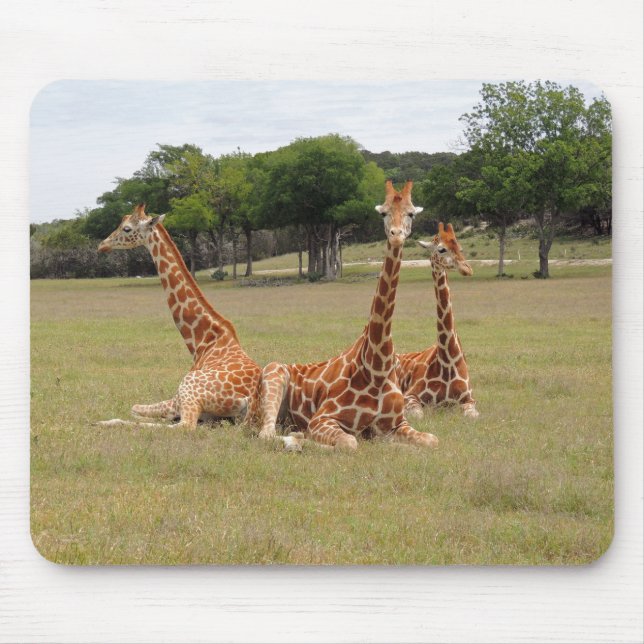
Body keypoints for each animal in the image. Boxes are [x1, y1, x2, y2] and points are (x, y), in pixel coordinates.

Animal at [96, 204, 262, 429]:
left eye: (126, 228)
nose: (102, 245)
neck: (203, 341)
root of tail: (249, 401)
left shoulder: (177, 399)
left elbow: (134, 408)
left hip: (188, 390)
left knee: (183, 426)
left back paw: (106, 421)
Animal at [258, 181, 438, 450]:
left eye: (411, 213)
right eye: (383, 213)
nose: (396, 235)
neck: (376, 368)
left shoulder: (396, 424)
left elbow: (432, 440)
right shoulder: (322, 418)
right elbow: (350, 442)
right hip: (274, 374)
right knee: (266, 434)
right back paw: (297, 439)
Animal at [396, 222, 479, 419]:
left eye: (460, 247)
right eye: (441, 249)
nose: (467, 269)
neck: (448, 360)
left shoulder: (469, 399)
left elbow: (471, 416)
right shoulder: (410, 396)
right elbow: (418, 414)